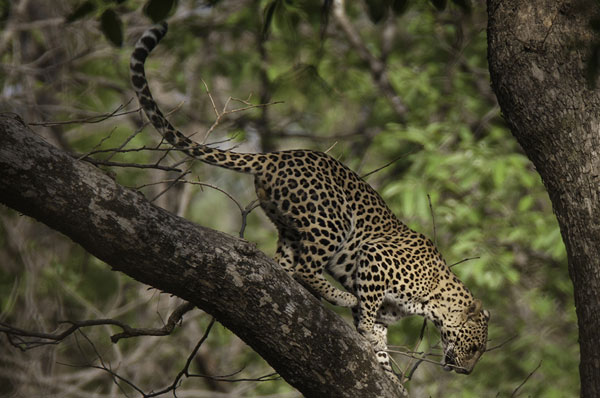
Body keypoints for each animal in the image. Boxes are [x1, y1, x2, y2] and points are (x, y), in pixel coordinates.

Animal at [130, 21, 488, 388]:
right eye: (475, 347)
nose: (467, 371)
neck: (434, 298)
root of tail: (274, 157)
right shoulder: (375, 258)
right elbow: (368, 312)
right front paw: (366, 331)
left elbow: (380, 339)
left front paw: (390, 373)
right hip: (334, 220)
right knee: (307, 269)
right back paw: (340, 295)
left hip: (291, 226)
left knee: (288, 268)